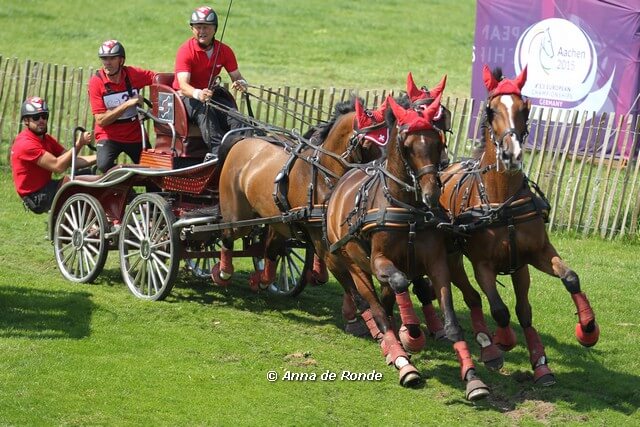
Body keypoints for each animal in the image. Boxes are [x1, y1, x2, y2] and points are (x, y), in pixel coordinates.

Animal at [324, 91, 490, 402]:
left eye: (437, 140)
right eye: (407, 145)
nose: (431, 193)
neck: (407, 208)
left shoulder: (437, 264)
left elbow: (450, 320)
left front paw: (473, 378)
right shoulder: (379, 262)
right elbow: (400, 283)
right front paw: (411, 335)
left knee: (387, 304)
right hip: (353, 265)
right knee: (378, 310)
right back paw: (402, 360)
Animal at [440, 64, 600, 388]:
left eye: (525, 108)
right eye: (491, 110)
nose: (511, 153)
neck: (501, 201)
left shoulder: (535, 254)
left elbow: (568, 280)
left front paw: (586, 329)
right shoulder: (482, 264)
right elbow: (500, 310)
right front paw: (502, 341)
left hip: (519, 267)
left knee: (520, 308)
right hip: (452, 257)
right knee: (473, 297)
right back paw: (487, 346)